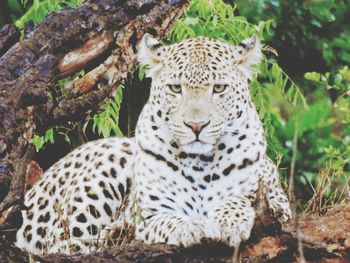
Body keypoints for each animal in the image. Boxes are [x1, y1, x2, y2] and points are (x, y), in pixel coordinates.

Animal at [15, 33, 292, 256]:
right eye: (175, 88)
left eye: (219, 88)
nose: (196, 126)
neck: (200, 162)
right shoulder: (148, 213)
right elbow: (167, 221)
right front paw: (192, 228)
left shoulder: (276, 200)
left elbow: (239, 200)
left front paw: (229, 221)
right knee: (64, 245)